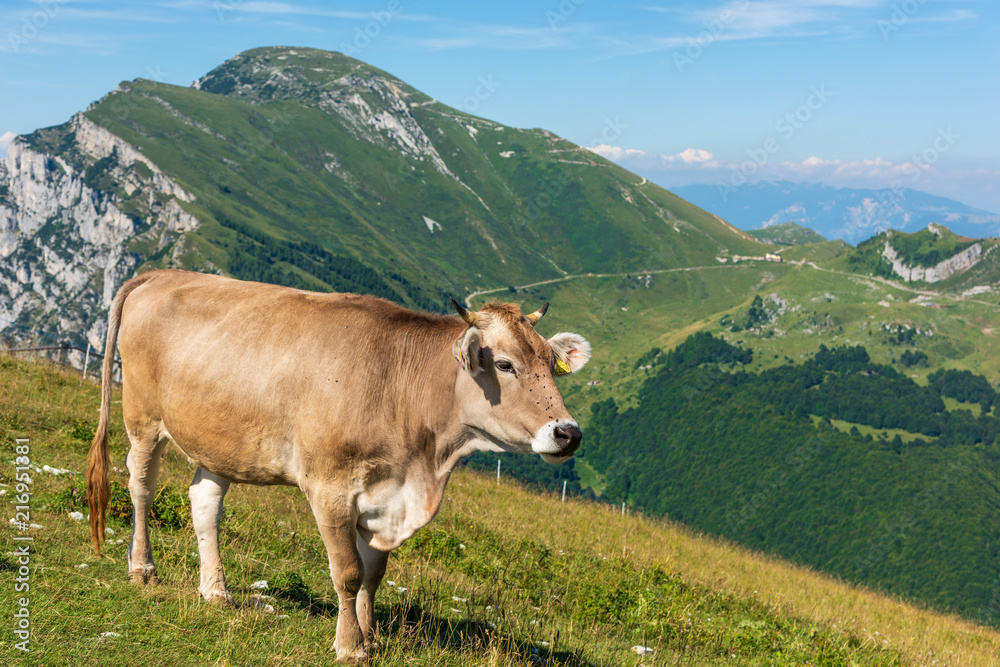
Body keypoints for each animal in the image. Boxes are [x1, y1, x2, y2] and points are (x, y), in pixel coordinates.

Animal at [86, 268, 588, 664]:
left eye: (549, 363)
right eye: (504, 364)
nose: (568, 433)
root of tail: (162, 273)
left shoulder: (385, 496)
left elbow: (373, 575)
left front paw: (372, 638)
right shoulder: (330, 488)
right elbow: (347, 572)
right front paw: (350, 645)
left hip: (217, 441)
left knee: (204, 504)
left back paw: (215, 591)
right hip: (142, 417)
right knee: (141, 487)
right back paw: (142, 568)